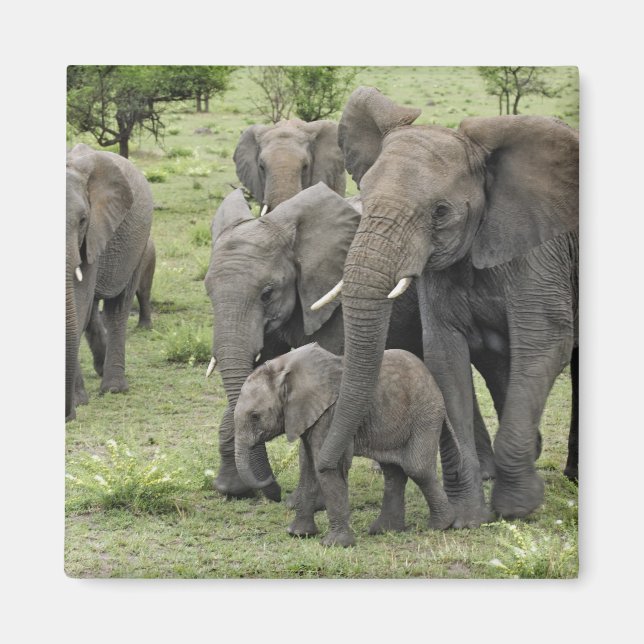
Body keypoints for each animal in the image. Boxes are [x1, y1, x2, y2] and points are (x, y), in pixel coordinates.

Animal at [66, 143, 153, 420]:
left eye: (83, 220)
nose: (68, 415)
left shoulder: (93, 232)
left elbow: (79, 302)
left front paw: (77, 402)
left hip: (138, 244)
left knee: (117, 309)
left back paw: (114, 387)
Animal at [203, 182, 424, 503]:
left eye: (267, 293)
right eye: (208, 293)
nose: (274, 489)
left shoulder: (335, 300)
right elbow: (254, 375)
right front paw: (232, 490)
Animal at [234, 344, 460, 546]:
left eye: (255, 416)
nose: (272, 482)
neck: (286, 366)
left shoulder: (330, 415)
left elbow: (327, 469)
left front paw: (334, 544)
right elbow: (308, 467)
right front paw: (298, 534)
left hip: (425, 414)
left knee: (417, 468)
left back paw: (441, 525)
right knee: (393, 472)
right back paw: (384, 530)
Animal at [314, 87, 578, 524]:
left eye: (440, 212)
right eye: (362, 197)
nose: (328, 465)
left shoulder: (540, 252)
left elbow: (544, 343)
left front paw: (516, 509)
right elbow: (444, 357)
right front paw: (468, 519)